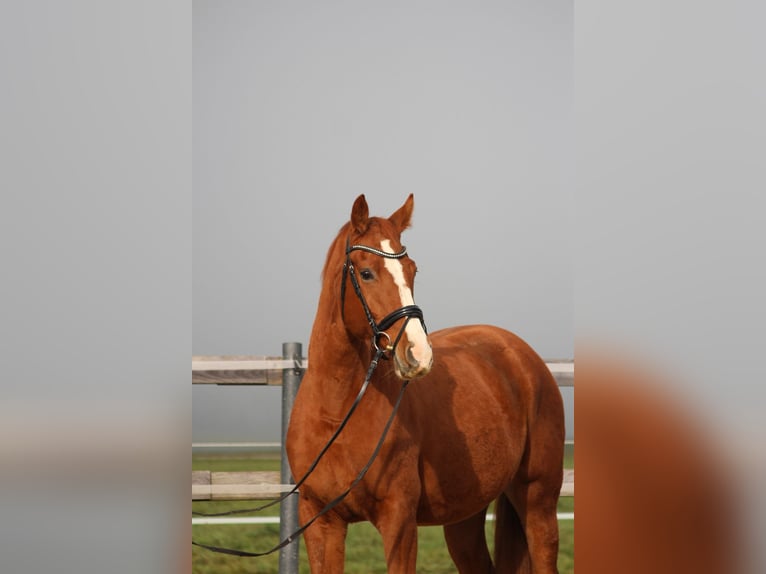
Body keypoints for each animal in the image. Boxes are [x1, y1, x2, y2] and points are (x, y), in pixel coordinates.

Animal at [284, 196, 568, 572]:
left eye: (412, 270)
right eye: (366, 273)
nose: (418, 353)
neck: (337, 413)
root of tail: (523, 356)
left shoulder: (399, 521)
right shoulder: (320, 521)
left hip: (538, 500)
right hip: (465, 515)